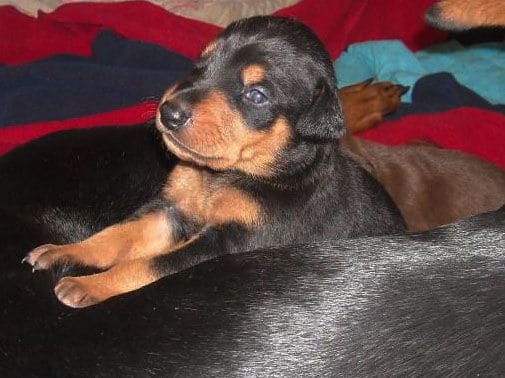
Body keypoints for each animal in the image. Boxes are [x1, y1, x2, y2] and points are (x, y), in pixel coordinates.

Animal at [21, 16, 404, 308]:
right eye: (200, 65)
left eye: (256, 95)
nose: (168, 113)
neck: (226, 175)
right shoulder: (172, 211)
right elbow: (117, 235)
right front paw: (65, 251)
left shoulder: (228, 243)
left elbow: (148, 265)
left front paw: (88, 285)